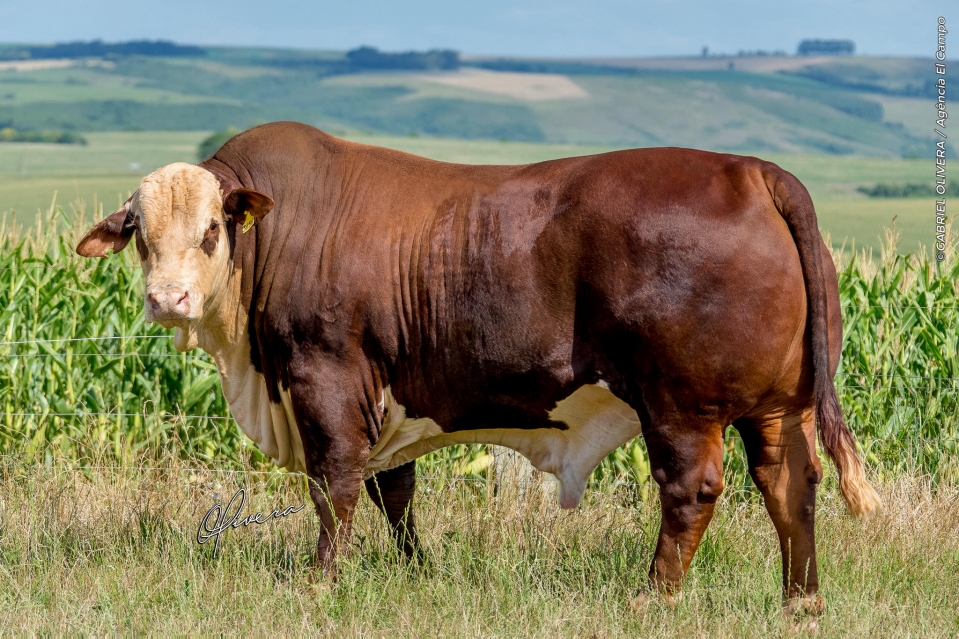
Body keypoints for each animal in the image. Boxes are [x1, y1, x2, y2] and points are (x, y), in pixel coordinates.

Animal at [77, 121, 884, 616]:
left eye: (213, 228)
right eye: (139, 233)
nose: (167, 299)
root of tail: (750, 169)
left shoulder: (327, 381)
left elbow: (335, 488)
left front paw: (318, 582)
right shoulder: (389, 398)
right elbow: (394, 492)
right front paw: (416, 570)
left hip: (680, 405)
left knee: (692, 491)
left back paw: (652, 596)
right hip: (777, 407)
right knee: (789, 486)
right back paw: (801, 601)